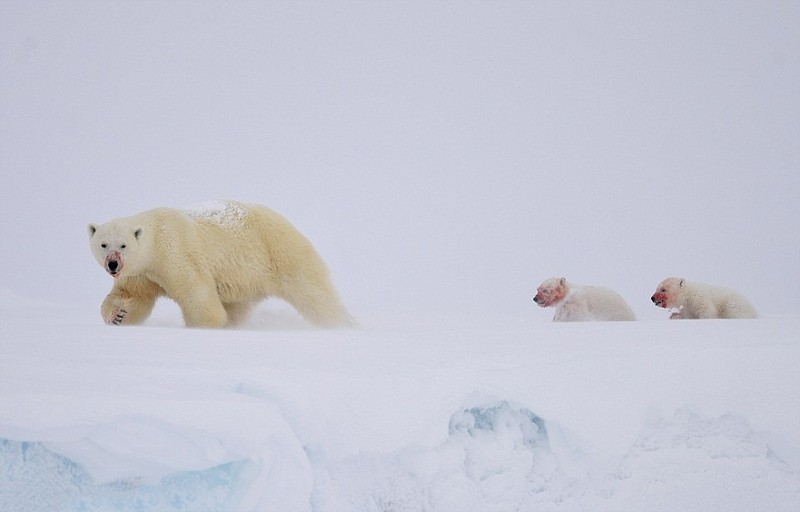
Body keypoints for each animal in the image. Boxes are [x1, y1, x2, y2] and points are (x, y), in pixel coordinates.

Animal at [86, 200, 352, 328]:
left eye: (123, 245)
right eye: (103, 244)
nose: (112, 264)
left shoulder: (175, 253)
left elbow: (197, 294)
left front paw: (205, 327)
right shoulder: (143, 272)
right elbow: (132, 294)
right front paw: (117, 316)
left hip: (280, 252)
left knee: (316, 296)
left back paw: (344, 325)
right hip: (247, 281)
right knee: (238, 307)